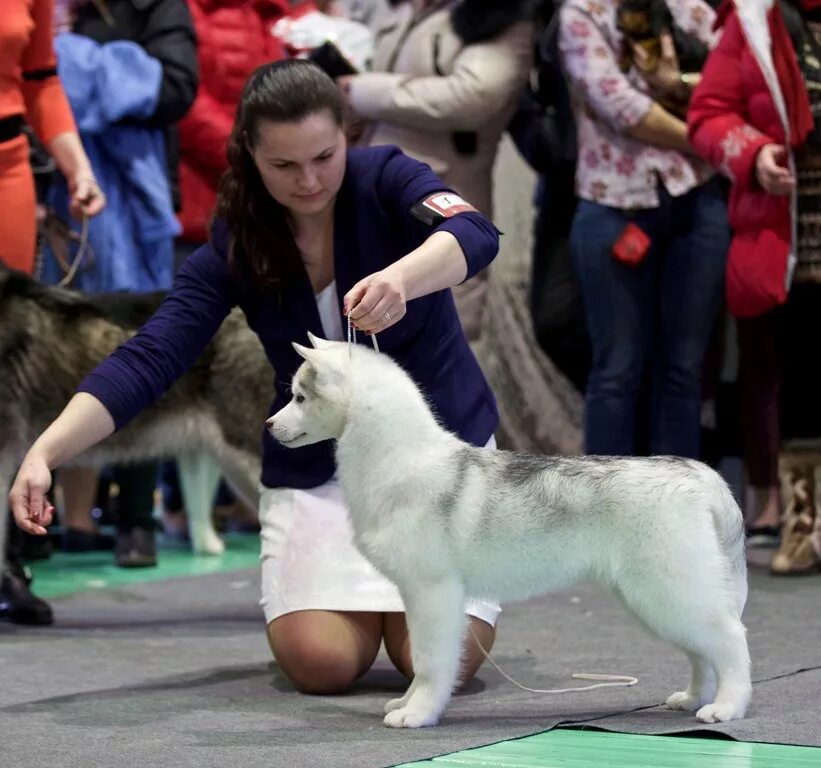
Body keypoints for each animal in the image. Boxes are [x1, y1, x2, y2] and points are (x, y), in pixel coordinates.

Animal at [268, 334, 748, 728]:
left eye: (299, 396)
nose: (269, 427)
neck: (400, 458)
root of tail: (696, 471)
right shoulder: (418, 597)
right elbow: (422, 659)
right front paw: (407, 702)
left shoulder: (433, 593)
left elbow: (429, 661)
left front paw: (418, 713)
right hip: (656, 598)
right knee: (702, 650)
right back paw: (693, 698)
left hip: (667, 590)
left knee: (730, 639)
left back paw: (726, 706)